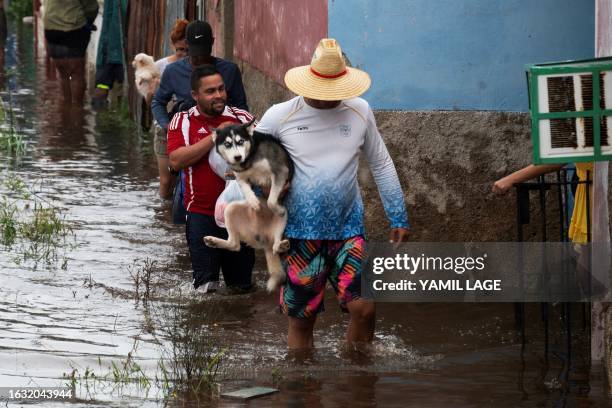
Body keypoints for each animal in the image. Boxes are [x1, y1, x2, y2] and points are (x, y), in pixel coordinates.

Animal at [203, 119, 294, 292]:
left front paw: (275, 207)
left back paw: (281, 244)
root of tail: (264, 240)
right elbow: (246, 189)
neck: (249, 159)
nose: (237, 157)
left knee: (276, 245)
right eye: (227, 144)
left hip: (283, 221)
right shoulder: (240, 177)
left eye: (240, 141)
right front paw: (254, 202)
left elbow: (271, 200)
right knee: (234, 245)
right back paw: (214, 241)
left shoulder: (280, 171)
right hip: (230, 210)